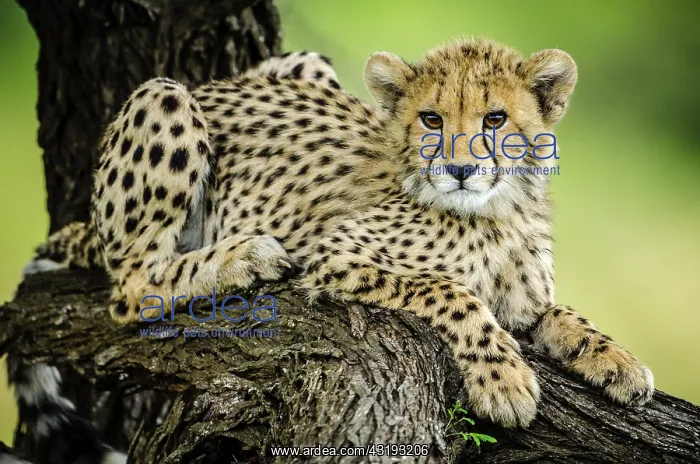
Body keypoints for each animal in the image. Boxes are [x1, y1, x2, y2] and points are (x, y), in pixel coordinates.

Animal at [12, 39, 654, 463]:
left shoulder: (525, 300)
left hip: (303, 64)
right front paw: (504, 381)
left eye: (495, 119)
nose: (460, 169)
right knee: (130, 287)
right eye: (431, 118)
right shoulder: (335, 255)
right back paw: (242, 256)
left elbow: (560, 312)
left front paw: (616, 360)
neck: (496, 211)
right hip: (162, 96)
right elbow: (451, 291)